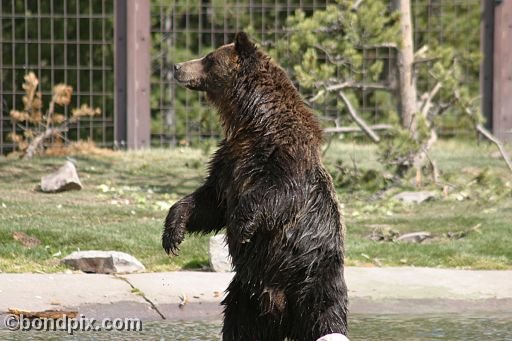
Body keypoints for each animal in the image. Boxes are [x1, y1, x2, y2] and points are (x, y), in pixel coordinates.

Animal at [164, 32, 348, 340]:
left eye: (209, 58)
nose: (177, 67)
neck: (252, 123)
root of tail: (281, 309)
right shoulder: (228, 164)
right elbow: (209, 202)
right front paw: (172, 235)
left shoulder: (285, 158)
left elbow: (277, 195)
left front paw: (241, 227)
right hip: (245, 297)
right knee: (239, 326)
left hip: (312, 278)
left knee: (326, 315)